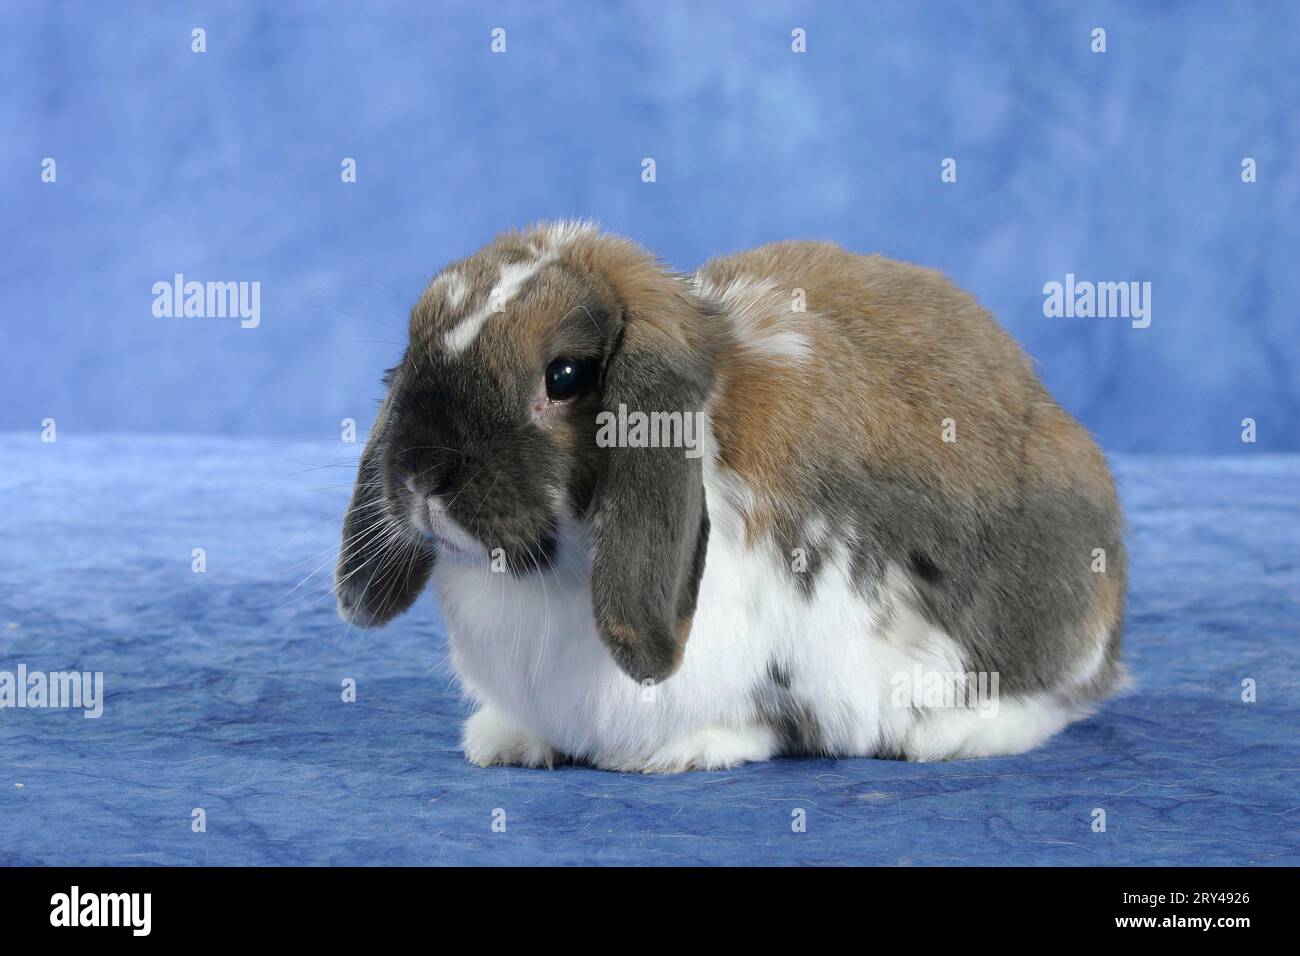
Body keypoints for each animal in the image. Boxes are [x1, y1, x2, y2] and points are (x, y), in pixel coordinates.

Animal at [335, 221, 1127, 772]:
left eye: (563, 376)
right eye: (415, 345)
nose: (420, 478)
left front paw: (683, 751)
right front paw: (505, 741)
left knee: (1058, 695)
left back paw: (950, 735)